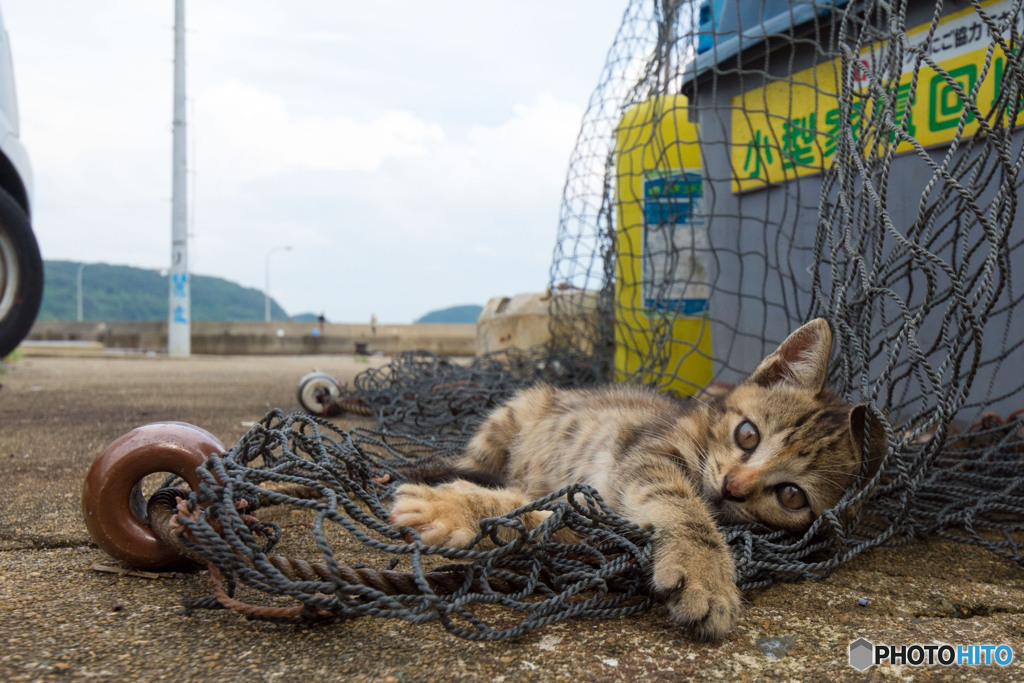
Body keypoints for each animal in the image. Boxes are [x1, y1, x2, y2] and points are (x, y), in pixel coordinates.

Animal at [387, 321, 884, 643]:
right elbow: (681, 505)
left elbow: (537, 515)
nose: (733, 487)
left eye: (791, 496)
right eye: (748, 435)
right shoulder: (646, 455)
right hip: (512, 414)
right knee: (472, 459)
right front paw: (706, 573)